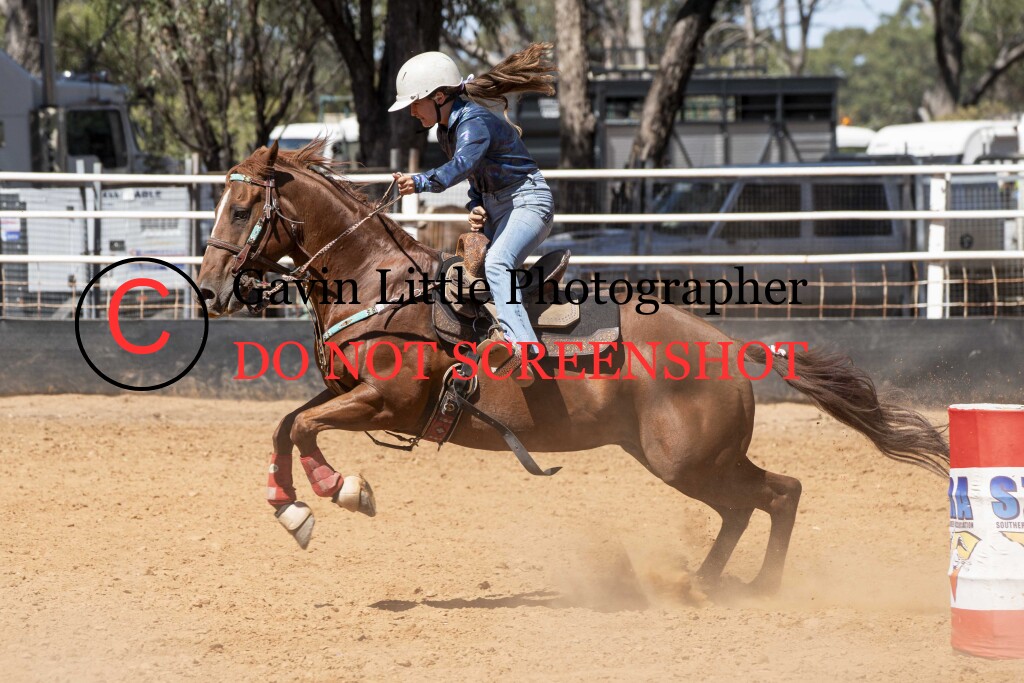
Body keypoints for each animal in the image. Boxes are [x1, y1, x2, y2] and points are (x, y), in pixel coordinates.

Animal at [196, 140, 948, 594]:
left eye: (242, 206)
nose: (209, 287)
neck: (382, 284)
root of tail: (731, 346)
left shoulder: (388, 400)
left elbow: (304, 429)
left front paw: (342, 490)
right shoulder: (345, 390)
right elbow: (287, 424)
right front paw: (291, 507)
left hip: (690, 459)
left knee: (774, 494)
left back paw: (752, 586)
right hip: (687, 459)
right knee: (761, 500)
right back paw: (710, 581)